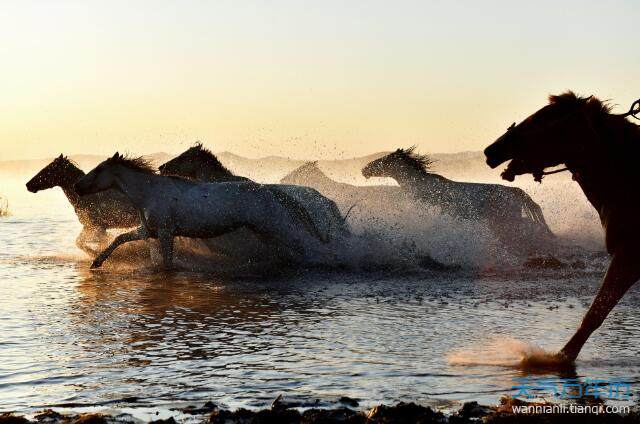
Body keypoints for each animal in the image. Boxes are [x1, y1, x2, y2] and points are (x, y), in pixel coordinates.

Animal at [76, 154, 330, 270]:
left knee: (302, 244)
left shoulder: (166, 233)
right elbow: (119, 238)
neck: (148, 193)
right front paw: (96, 262)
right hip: (264, 231)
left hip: (273, 225)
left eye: (98, 170)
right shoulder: (148, 231)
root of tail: (266, 189)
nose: (78, 186)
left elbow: (167, 264)